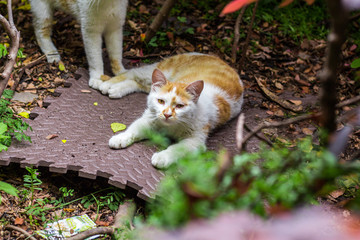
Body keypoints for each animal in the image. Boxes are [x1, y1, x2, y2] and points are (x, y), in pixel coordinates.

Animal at [101, 53, 245, 169]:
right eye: (160, 101)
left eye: (180, 106)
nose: (167, 114)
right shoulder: (149, 118)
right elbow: (134, 129)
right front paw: (121, 138)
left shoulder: (196, 140)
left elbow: (177, 148)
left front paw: (163, 157)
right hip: (157, 70)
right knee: (132, 73)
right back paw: (106, 84)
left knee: (137, 83)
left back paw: (116, 89)